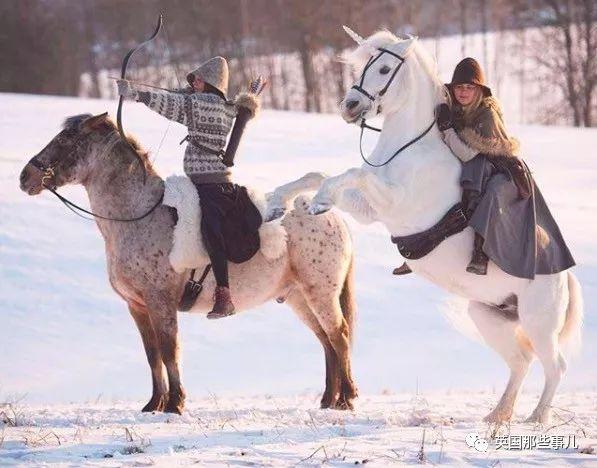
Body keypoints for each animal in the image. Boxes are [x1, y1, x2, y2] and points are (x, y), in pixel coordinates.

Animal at [266, 29, 584, 424]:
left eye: (384, 68)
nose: (349, 106)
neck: (408, 150)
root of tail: (564, 275)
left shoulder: (395, 202)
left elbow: (350, 173)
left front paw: (317, 202)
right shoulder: (369, 207)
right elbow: (322, 174)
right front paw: (280, 202)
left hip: (539, 320)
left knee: (556, 366)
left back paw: (536, 418)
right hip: (488, 316)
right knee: (521, 362)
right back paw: (497, 415)